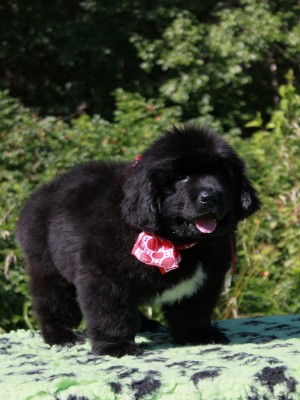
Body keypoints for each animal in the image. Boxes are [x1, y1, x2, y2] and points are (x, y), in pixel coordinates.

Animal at [17, 125, 260, 356]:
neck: (181, 242)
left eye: (222, 174)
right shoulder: (104, 276)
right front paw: (116, 346)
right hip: (49, 268)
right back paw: (61, 336)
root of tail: (39, 195)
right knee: (51, 304)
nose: (209, 197)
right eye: (181, 177)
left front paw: (197, 335)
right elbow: (111, 313)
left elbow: (195, 310)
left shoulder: (206, 280)